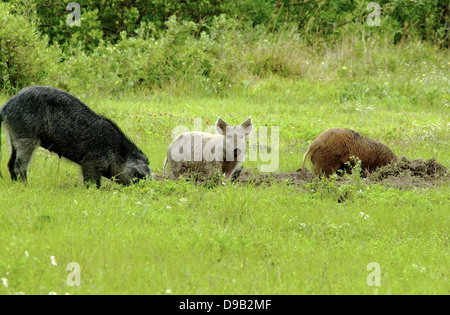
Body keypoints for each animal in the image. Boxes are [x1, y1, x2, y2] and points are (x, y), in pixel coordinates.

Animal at [0, 86, 151, 188]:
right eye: (138, 175)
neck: (117, 151)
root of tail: (6, 106)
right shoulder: (91, 160)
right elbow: (91, 180)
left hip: (12, 136)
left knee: (10, 163)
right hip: (26, 136)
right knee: (19, 164)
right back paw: (26, 186)